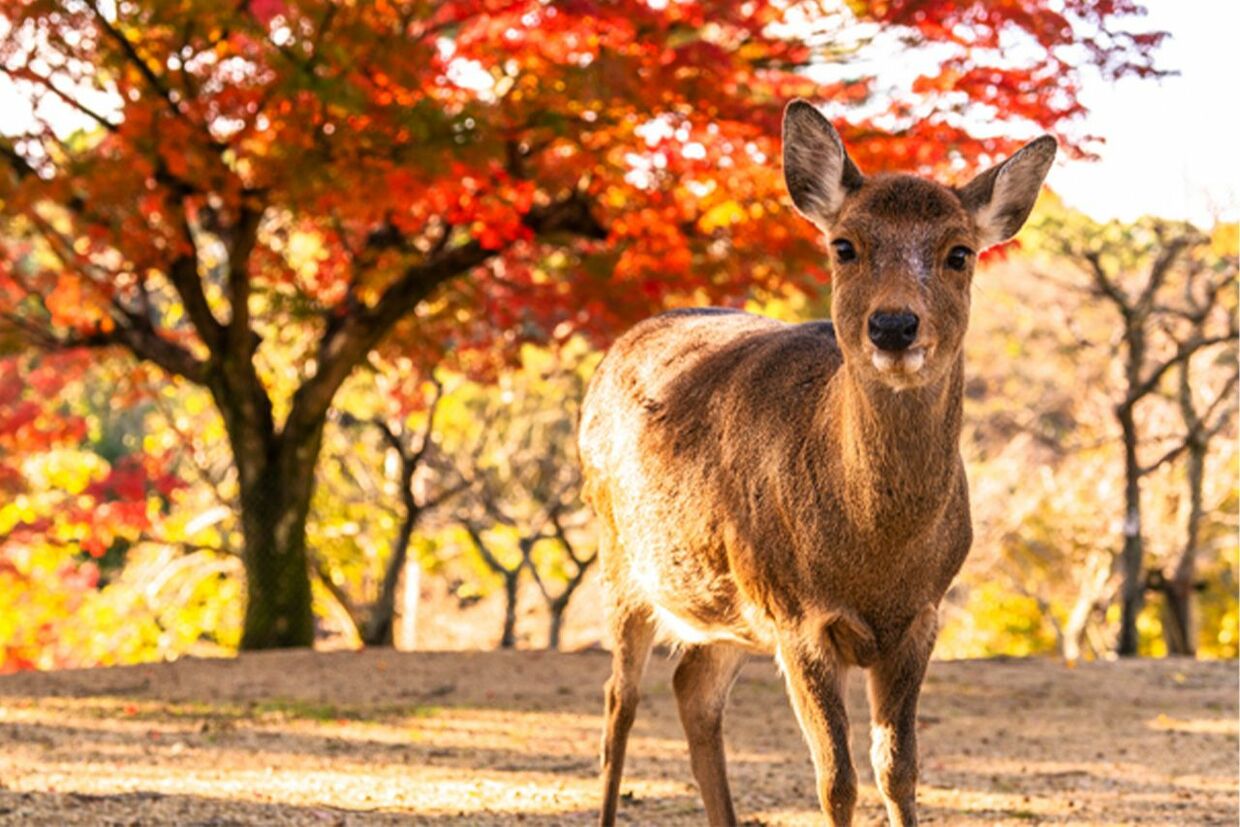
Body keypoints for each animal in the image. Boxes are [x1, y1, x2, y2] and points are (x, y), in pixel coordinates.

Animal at [577, 98, 1056, 827]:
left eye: (959, 252)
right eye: (844, 245)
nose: (894, 325)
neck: (874, 556)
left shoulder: (922, 615)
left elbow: (898, 771)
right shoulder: (796, 613)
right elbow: (837, 780)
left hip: (725, 603)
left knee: (693, 687)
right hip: (621, 556)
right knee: (617, 701)